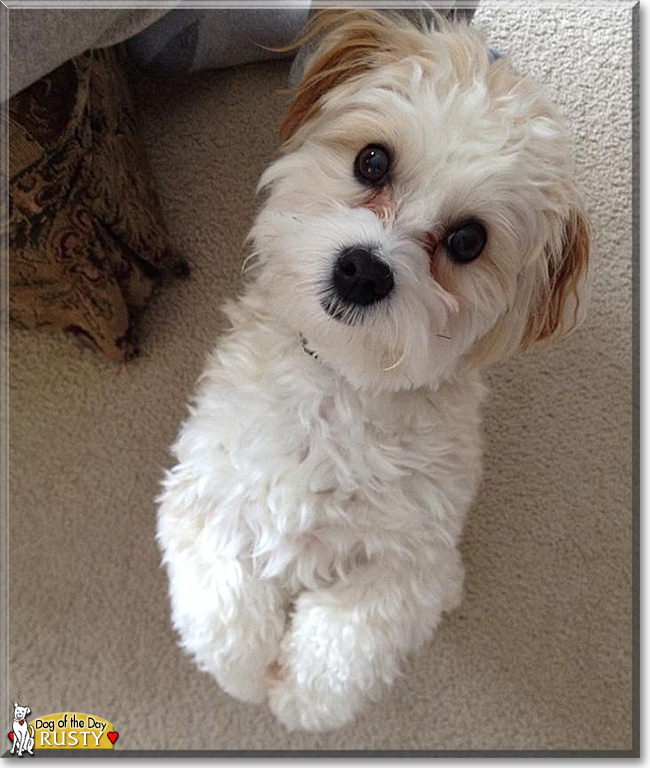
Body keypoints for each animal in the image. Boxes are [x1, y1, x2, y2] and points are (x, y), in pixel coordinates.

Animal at [157, 10, 588, 732]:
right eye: (373, 160)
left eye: (468, 240)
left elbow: (347, 642)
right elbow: (221, 610)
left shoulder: (416, 564)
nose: (363, 270)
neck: (336, 386)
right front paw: (246, 675)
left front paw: (299, 699)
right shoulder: (203, 491)